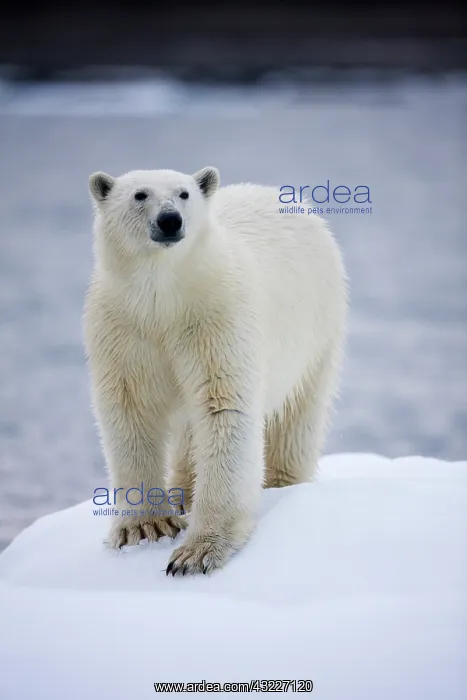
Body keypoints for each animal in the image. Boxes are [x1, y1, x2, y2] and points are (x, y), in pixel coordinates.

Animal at [84, 166, 348, 576]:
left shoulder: (215, 318)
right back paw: (183, 490)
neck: (164, 299)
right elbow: (130, 410)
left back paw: (281, 484)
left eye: (184, 193)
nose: (170, 220)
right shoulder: (123, 328)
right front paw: (145, 527)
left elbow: (223, 407)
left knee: (295, 417)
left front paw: (197, 551)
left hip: (316, 331)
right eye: (140, 195)